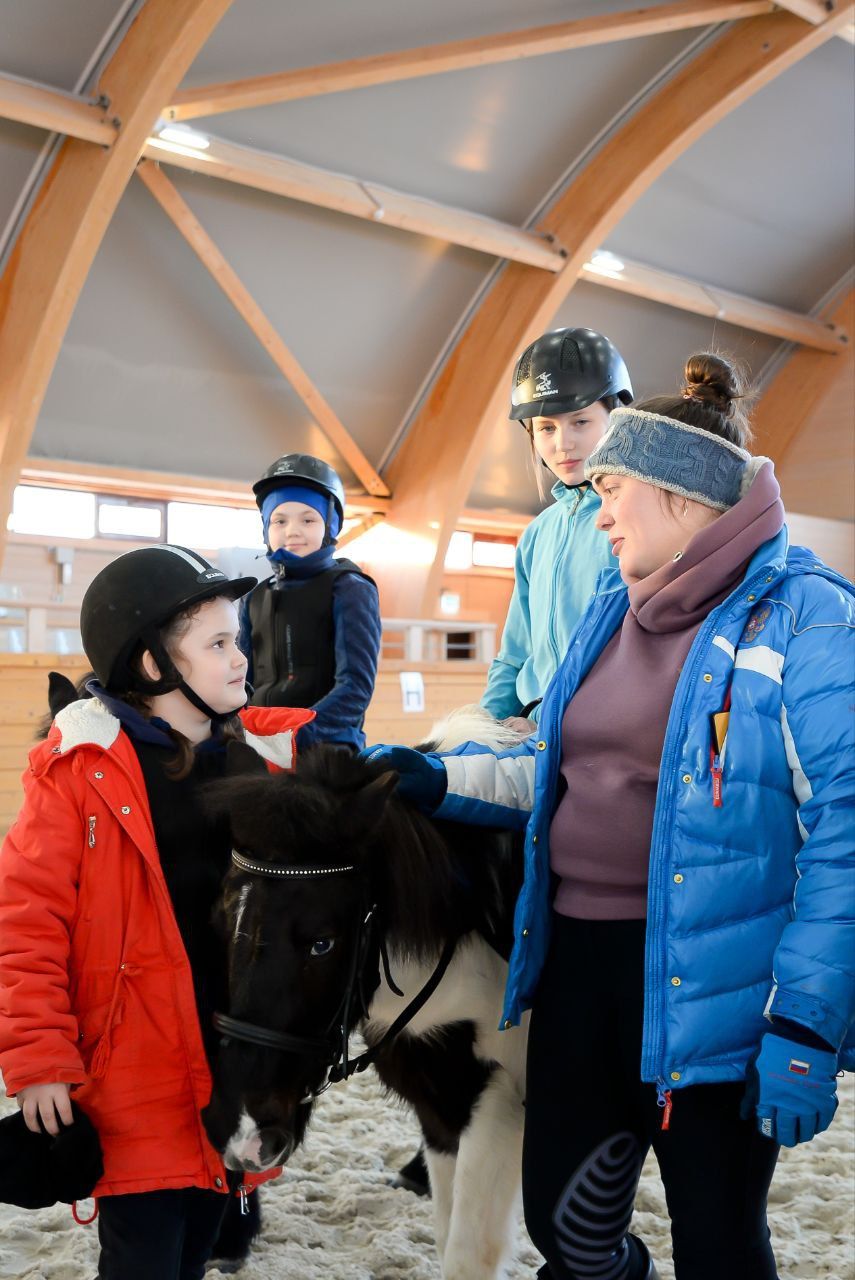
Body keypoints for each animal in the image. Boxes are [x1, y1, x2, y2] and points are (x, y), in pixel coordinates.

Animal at [203, 711, 529, 1280]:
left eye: (322, 942)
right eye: (222, 924)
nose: (243, 1132)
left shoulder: (496, 1101)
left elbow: (468, 1254)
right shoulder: (440, 1100)